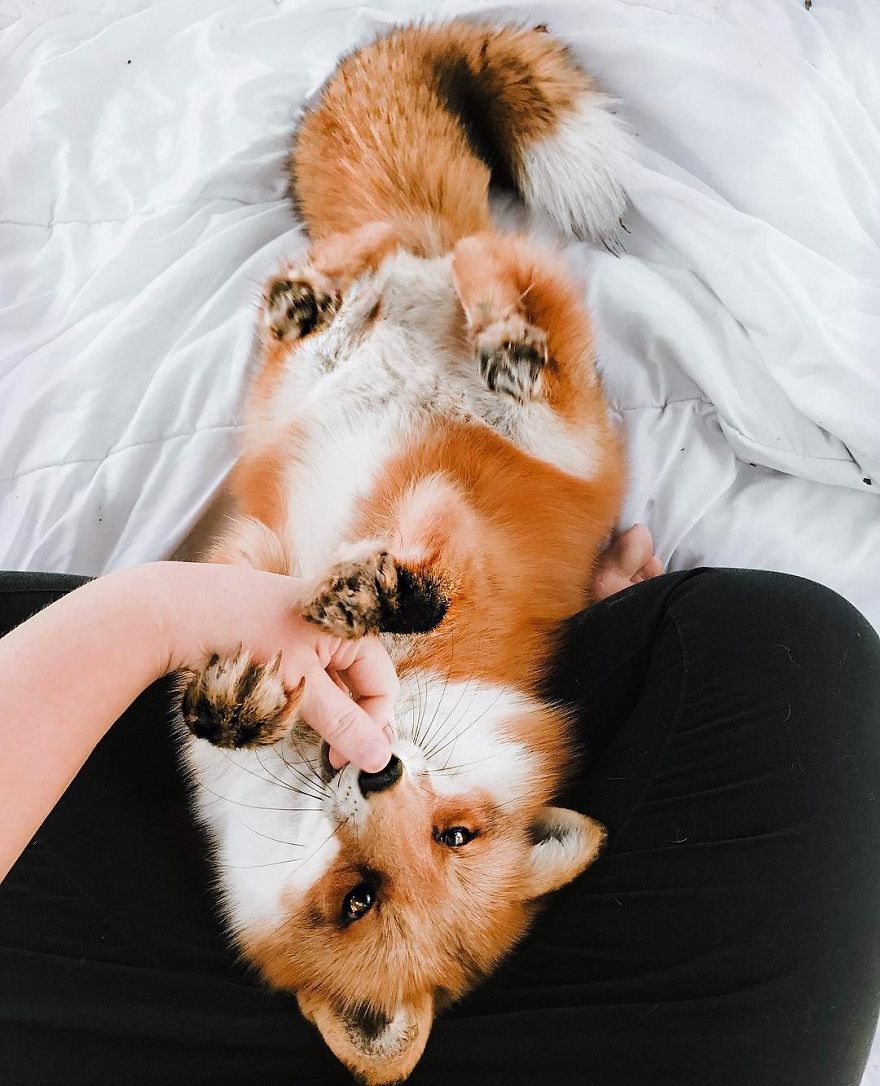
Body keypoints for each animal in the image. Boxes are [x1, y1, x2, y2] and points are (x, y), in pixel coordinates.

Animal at [177, 18, 632, 1085]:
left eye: (451, 837)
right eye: (359, 897)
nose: (378, 771)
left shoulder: (444, 548)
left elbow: (422, 578)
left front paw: (342, 621)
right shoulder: (412, 544)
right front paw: (250, 689)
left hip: (484, 407)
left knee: (447, 261)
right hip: (491, 401)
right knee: (430, 261)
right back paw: (380, 306)